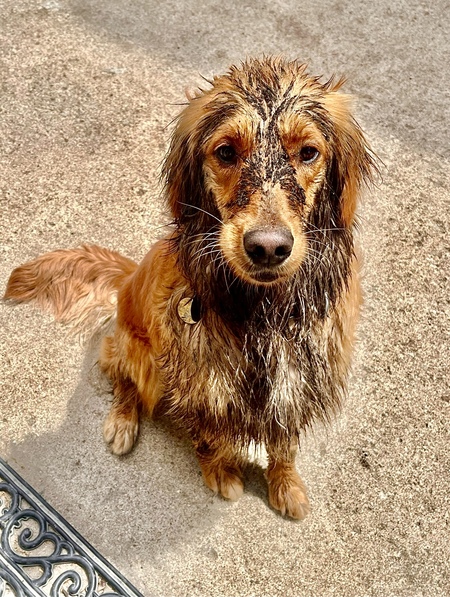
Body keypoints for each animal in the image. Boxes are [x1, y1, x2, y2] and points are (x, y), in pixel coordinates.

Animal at [4, 58, 376, 520]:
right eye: (226, 151)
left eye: (308, 151)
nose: (267, 247)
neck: (261, 313)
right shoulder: (198, 382)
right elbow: (211, 439)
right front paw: (222, 472)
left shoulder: (299, 383)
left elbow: (284, 446)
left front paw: (286, 486)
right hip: (139, 354)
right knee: (124, 381)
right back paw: (122, 423)